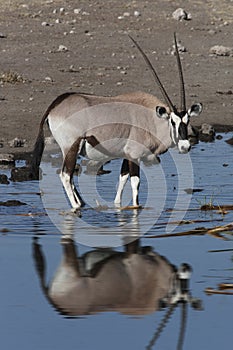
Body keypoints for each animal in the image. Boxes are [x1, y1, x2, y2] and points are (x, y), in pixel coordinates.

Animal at [31, 34, 203, 211]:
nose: (185, 146)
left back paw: (82, 203)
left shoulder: (126, 155)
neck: (151, 119)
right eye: (172, 122)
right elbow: (135, 182)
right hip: (71, 147)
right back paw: (77, 206)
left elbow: (122, 179)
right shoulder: (134, 155)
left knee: (70, 177)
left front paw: (117, 206)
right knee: (66, 175)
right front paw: (135, 208)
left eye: (187, 120)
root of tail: (55, 105)